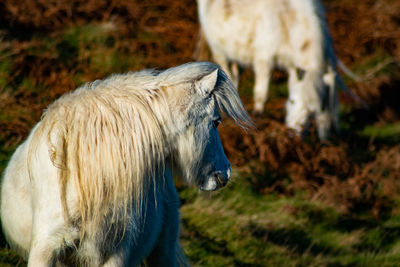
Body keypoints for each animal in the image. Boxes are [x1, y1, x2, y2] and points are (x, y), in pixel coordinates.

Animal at [198, 0, 352, 139]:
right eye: (292, 101)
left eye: (312, 111)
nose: (292, 134)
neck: (289, 20)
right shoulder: (264, 58)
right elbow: (261, 92)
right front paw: (258, 116)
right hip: (218, 51)